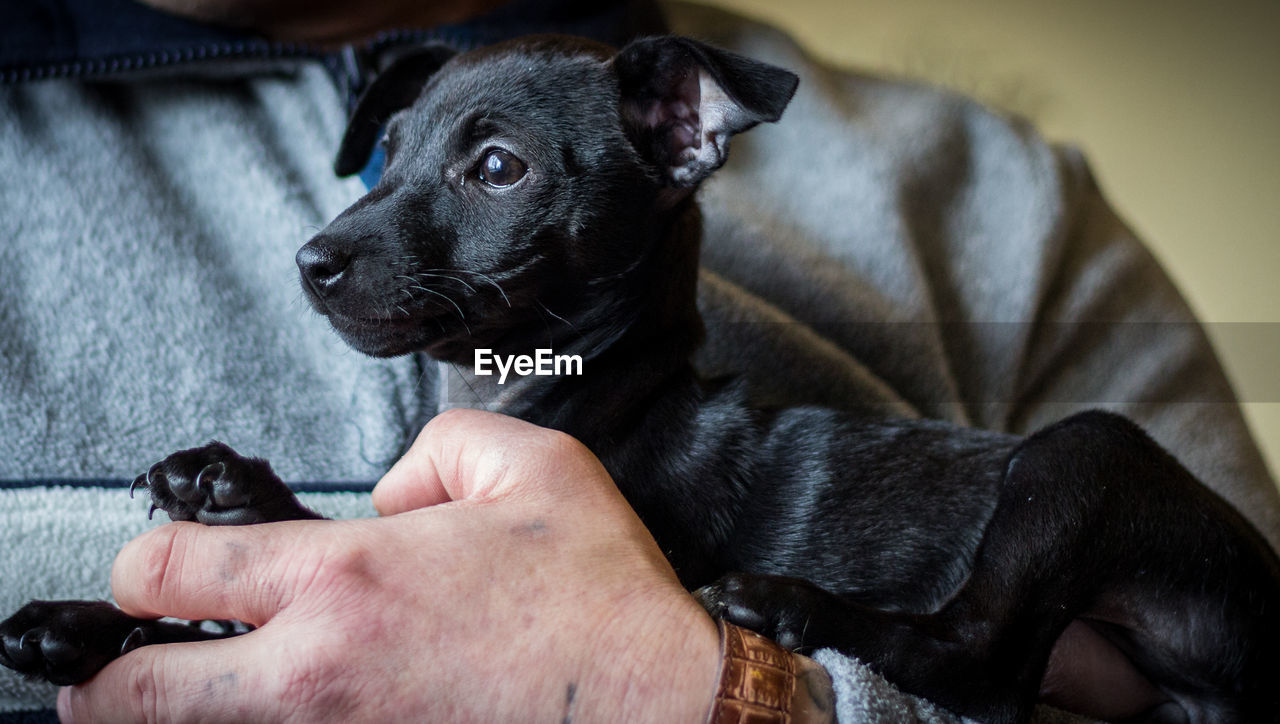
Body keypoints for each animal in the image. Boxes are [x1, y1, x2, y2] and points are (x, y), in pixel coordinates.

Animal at [2, 35, 1280, 724]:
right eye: (388, 149)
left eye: (497, 169)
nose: (309, 263)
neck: (524, 394)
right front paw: (104, 607)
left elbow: (317, 556)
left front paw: (216, 521)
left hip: (1084, 454)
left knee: (986, 660)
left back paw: (793, 606)